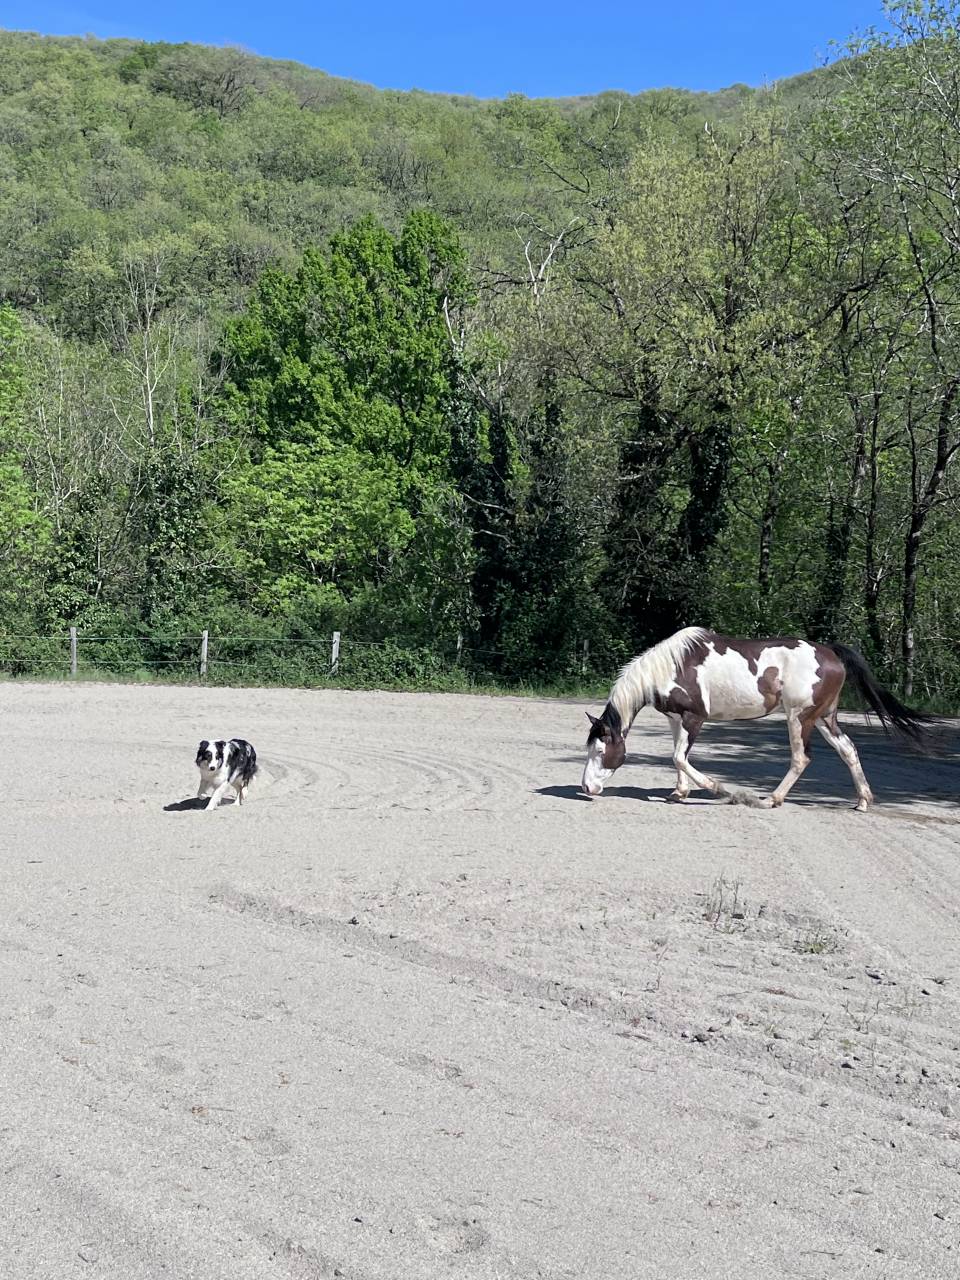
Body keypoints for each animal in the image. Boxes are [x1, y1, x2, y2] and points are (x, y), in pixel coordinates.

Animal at [581, 627, 933, 810]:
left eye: (600, 750)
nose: (586, 787)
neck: (674, 666)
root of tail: (831, 653)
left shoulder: (695, 718)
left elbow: (680, 758)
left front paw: (721, 790)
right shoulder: (675, 719)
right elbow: (677, 757)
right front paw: (678, 793)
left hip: (799, 718)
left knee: (801, 758)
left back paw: (769, 799)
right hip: (824, 717)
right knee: (848, 750)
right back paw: (862, 800)